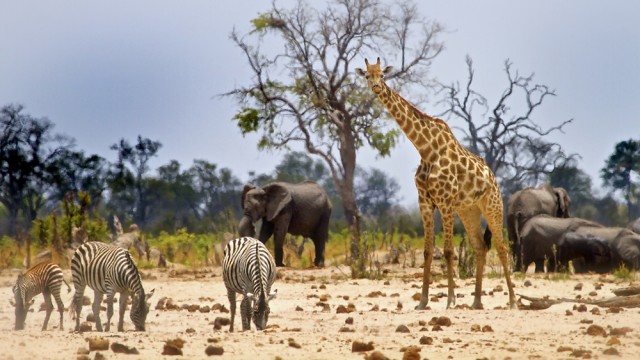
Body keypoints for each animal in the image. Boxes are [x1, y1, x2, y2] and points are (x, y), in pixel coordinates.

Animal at [358, 58, 516, 310]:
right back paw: (476, 302)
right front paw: (423, 302)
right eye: (366, 75)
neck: (426, 149)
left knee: (501, 247)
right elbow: (427, 251)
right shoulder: (425, 202)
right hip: (468, 210)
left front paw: (450, 300)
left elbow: (449, 251)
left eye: (382, 75)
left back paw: (512, 301)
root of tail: (492, 177)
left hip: (492, 205)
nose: (376, 87)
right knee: (480, 246)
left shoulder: (445, 201)